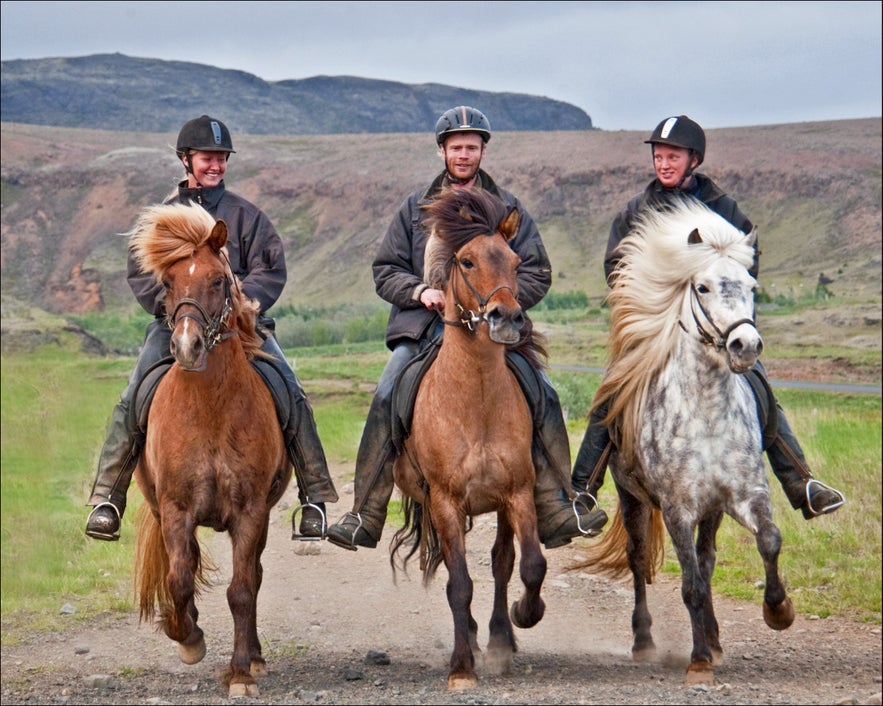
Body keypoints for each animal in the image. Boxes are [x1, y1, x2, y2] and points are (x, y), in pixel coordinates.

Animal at [129, 201, 288, 696]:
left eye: (219, 280)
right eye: (166, 281)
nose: (187, 345)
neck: (210, 410)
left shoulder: (251, 510)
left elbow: (241, 589)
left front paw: (239, 673)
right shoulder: (175, 508)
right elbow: (179, 578)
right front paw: (188, 638)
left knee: (253, 577)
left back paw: (254, 657)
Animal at [392, 187, 548, 688]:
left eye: (516, 262)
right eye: (466, 261)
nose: (506, 318)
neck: (475, 399)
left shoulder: (518, 493)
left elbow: (530, 564)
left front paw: (523, 615)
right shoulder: (444, 500)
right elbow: (458, 583)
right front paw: (462, 666)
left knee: (502, 562)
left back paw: (499, 637)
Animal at [576, 198, 796, 680]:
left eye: (751, 284)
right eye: (703, 287)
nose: (745, 345)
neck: (706, 415)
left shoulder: (744, 495)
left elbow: (769, 541)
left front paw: (778, 610)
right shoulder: (678, 508)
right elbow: (689, 584)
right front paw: (697, 661)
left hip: (711, 511)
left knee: (708, 559)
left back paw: (713, 638)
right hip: (633, 498)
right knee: (640, 559)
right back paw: (645, 641)